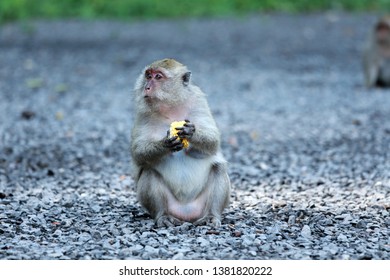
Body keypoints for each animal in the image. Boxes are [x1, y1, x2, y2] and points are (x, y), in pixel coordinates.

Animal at [129, 58, 230, 226]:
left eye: (158, 77)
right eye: (148, 76)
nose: (147, 87)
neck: (171, 107)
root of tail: (186, 214)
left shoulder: (198, 101)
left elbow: (213, 142)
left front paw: (191, 132)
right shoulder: (143, 112)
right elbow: (138, 152)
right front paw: (164, 144)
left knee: (218, 168)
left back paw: (211, 215)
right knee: (149, 170)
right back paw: (163, 215)